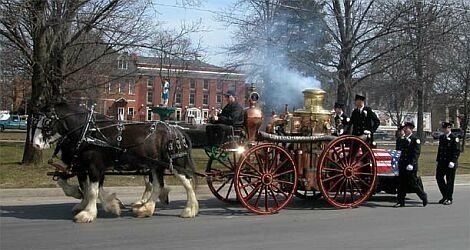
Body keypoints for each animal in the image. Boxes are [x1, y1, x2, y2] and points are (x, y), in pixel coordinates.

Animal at [31, 102, 198, 224]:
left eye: (47, 121)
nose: (36, 145)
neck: (87, 132)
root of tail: (178, 130)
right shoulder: (84, 167)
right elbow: (86, 187)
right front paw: (110, 204)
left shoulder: (94, 166)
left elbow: (92, 190)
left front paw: (88, 213)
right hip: (156, 166)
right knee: (158, 186)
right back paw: (145, 209)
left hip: (175, 163)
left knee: (187, 183)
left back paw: (189, 210)